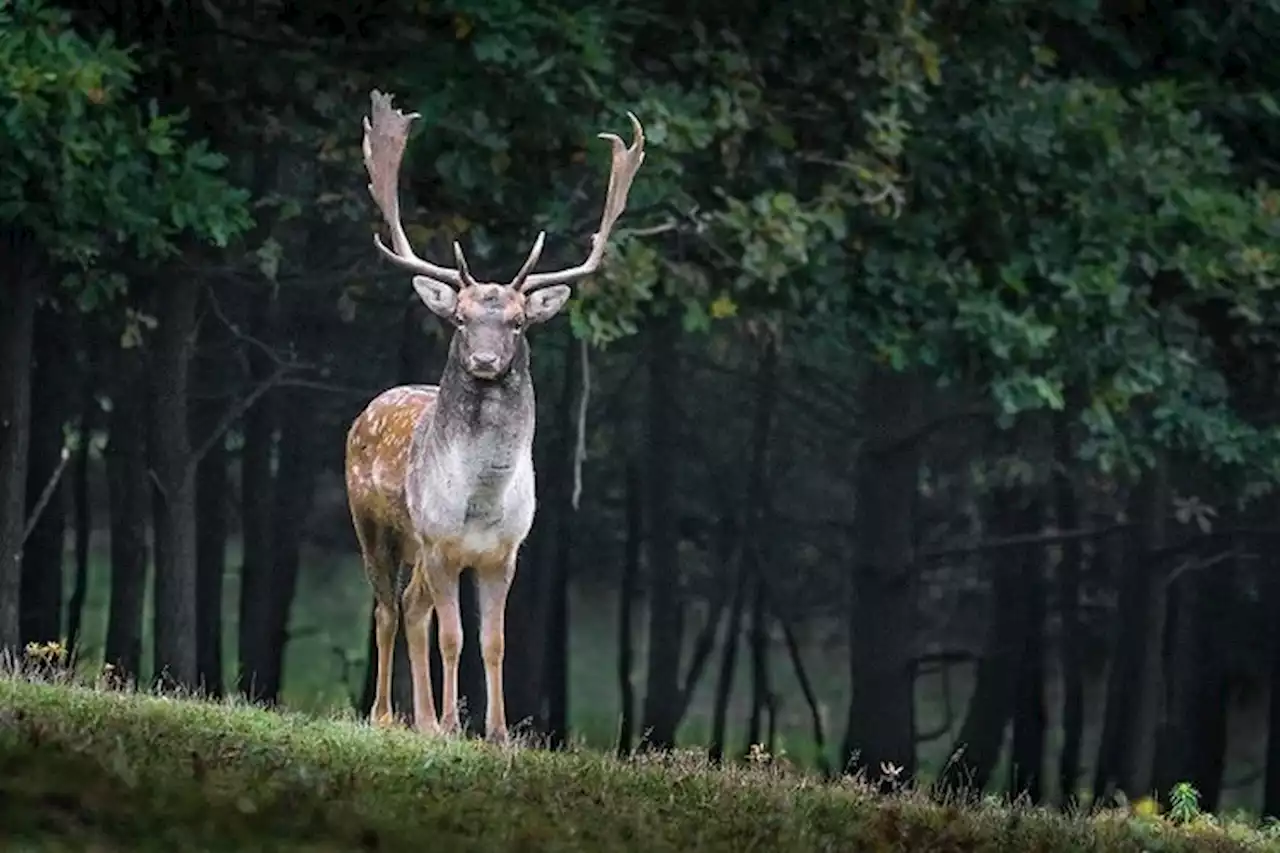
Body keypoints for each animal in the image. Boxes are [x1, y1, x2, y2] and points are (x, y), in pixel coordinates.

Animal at [345, 89, 645, 742]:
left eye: (518, 322)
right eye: (460, 318)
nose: (484, 360)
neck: (480, 502)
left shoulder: (504, 553)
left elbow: (493, 641)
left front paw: (498, 732)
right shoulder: (440, 543)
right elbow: (453, 638)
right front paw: (452, 725)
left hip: (417, 548)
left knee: (411, 608)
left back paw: (421, 719)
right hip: (374, 524)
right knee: (386, 608)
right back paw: (388, 715)